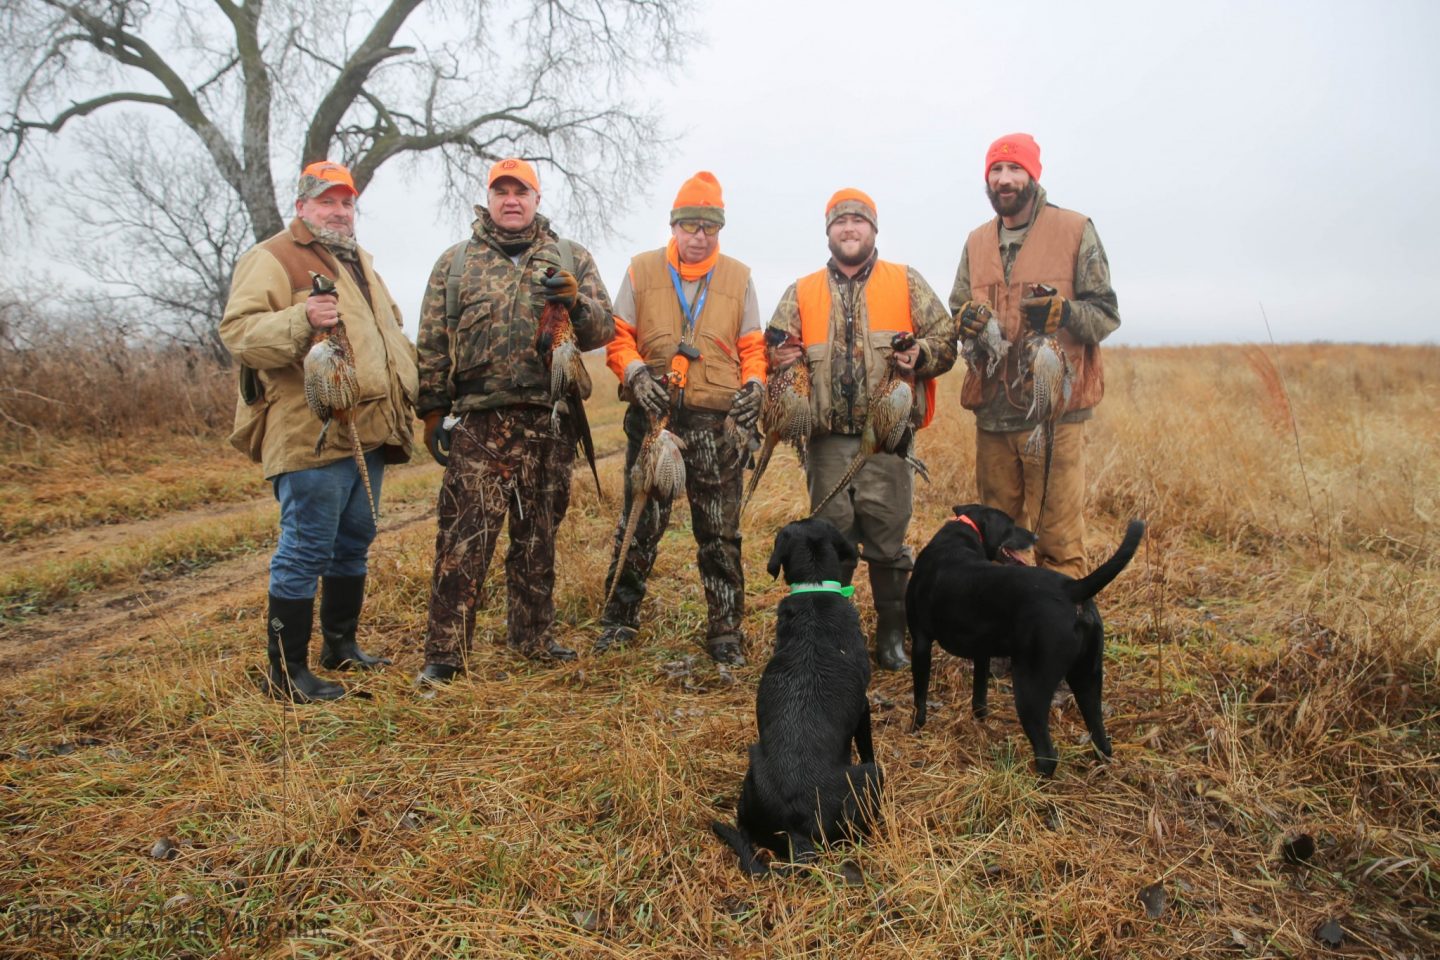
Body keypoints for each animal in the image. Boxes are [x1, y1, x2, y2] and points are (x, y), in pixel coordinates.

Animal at [910, 506, 1146, 777]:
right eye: (1011, 526)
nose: (1035, 537)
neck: (964, 532)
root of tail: (1072, 588)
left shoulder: (920, 642)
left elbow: (920, 697)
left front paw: (915, 728)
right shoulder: (981, 653)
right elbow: (979, 696)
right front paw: (980, 723)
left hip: (1030, 686)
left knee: (1047, 754)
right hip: (1088, 677)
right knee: (1102, 741)